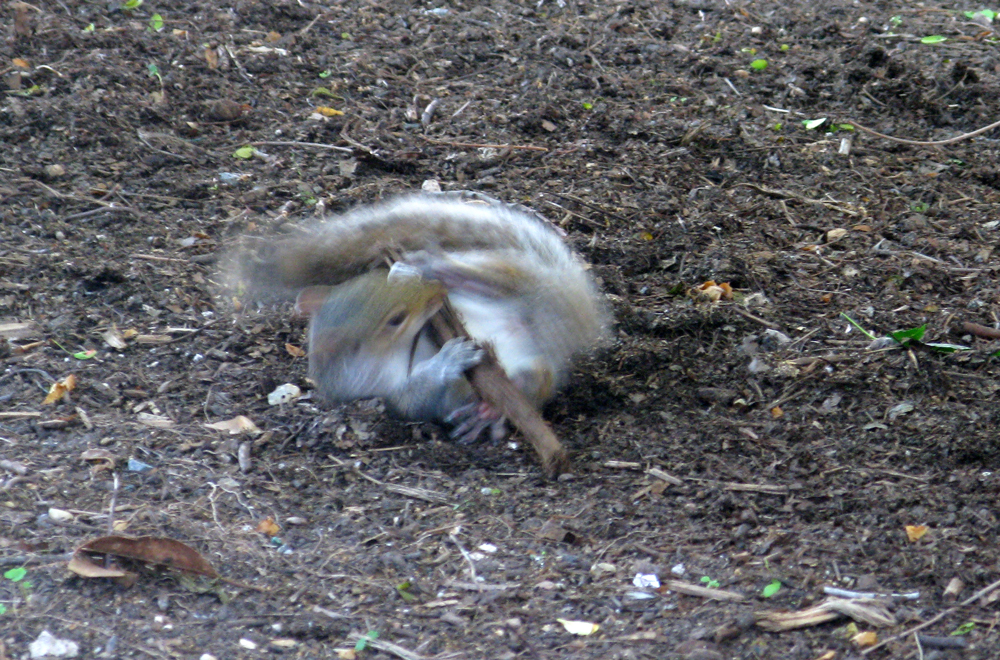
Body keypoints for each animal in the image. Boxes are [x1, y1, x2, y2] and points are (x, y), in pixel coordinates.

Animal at [228, 191, 609, 440]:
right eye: (395, 320)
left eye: (375, 276)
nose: (434, 295)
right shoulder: (388, 393)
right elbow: (419, 393)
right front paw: (447, 360)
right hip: (523, 366)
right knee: (536, 382)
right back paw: (490, 412)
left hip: (511, 282)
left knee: (495, 282)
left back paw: (442, 269)